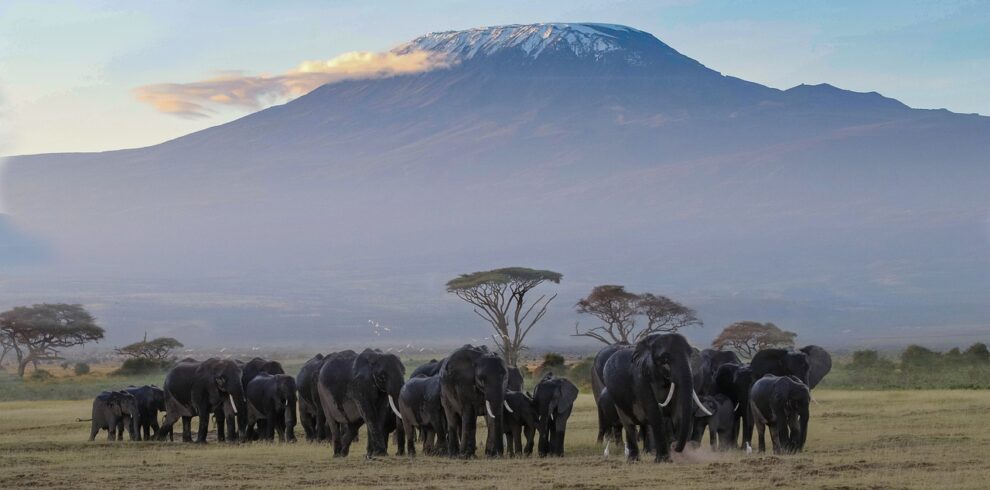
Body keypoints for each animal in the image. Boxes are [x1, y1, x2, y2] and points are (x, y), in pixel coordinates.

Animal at [600, 332, 708, 462]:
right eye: (665, 359)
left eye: (690, 357)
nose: (675, 447)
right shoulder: (640, 379)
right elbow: (655, 413)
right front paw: (664, 461)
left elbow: (678, 413)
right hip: (617, 400)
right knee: (628, 424)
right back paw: (633, 460)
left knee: (645, 425)